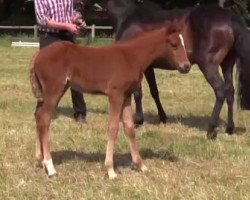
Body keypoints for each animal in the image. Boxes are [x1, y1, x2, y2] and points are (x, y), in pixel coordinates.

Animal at [29, 24, 189, 179]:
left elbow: (129, 128)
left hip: (50, 92)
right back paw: (50, 167)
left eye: (183, 43)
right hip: (54, 91)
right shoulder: (115, 95)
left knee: (38, 115)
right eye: (174, 44)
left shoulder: (126, 96)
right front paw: (110, 170)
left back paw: (39, 160)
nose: (186, 66)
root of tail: (38, 55)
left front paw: (141, 165)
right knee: (44, 118)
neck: (131, 57)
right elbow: (113, 128)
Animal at [106, 0, 250, 139]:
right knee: (230, 91)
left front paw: (138, 121)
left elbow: (137, 94)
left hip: (209, 65)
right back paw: (230, 129)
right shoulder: (148, 67)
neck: (126, 14)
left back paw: (210, 131)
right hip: (227, 63)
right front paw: (162, 118)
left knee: (220, 91)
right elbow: (154, 92)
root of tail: (230, 18)